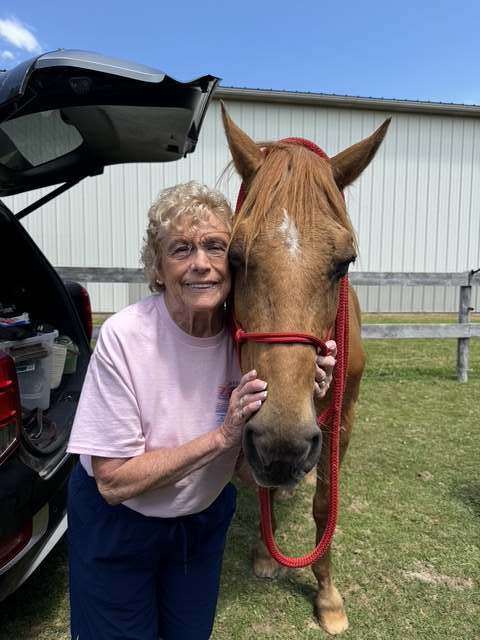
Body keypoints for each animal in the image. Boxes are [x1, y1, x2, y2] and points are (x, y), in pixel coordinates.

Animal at [221, 103, 390, 635]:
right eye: (235, 256)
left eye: (345, 262)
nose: (284, 445)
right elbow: (263, 489)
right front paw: (265, 553)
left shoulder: (341, 421)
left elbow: (323, 505)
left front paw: (328, 597)